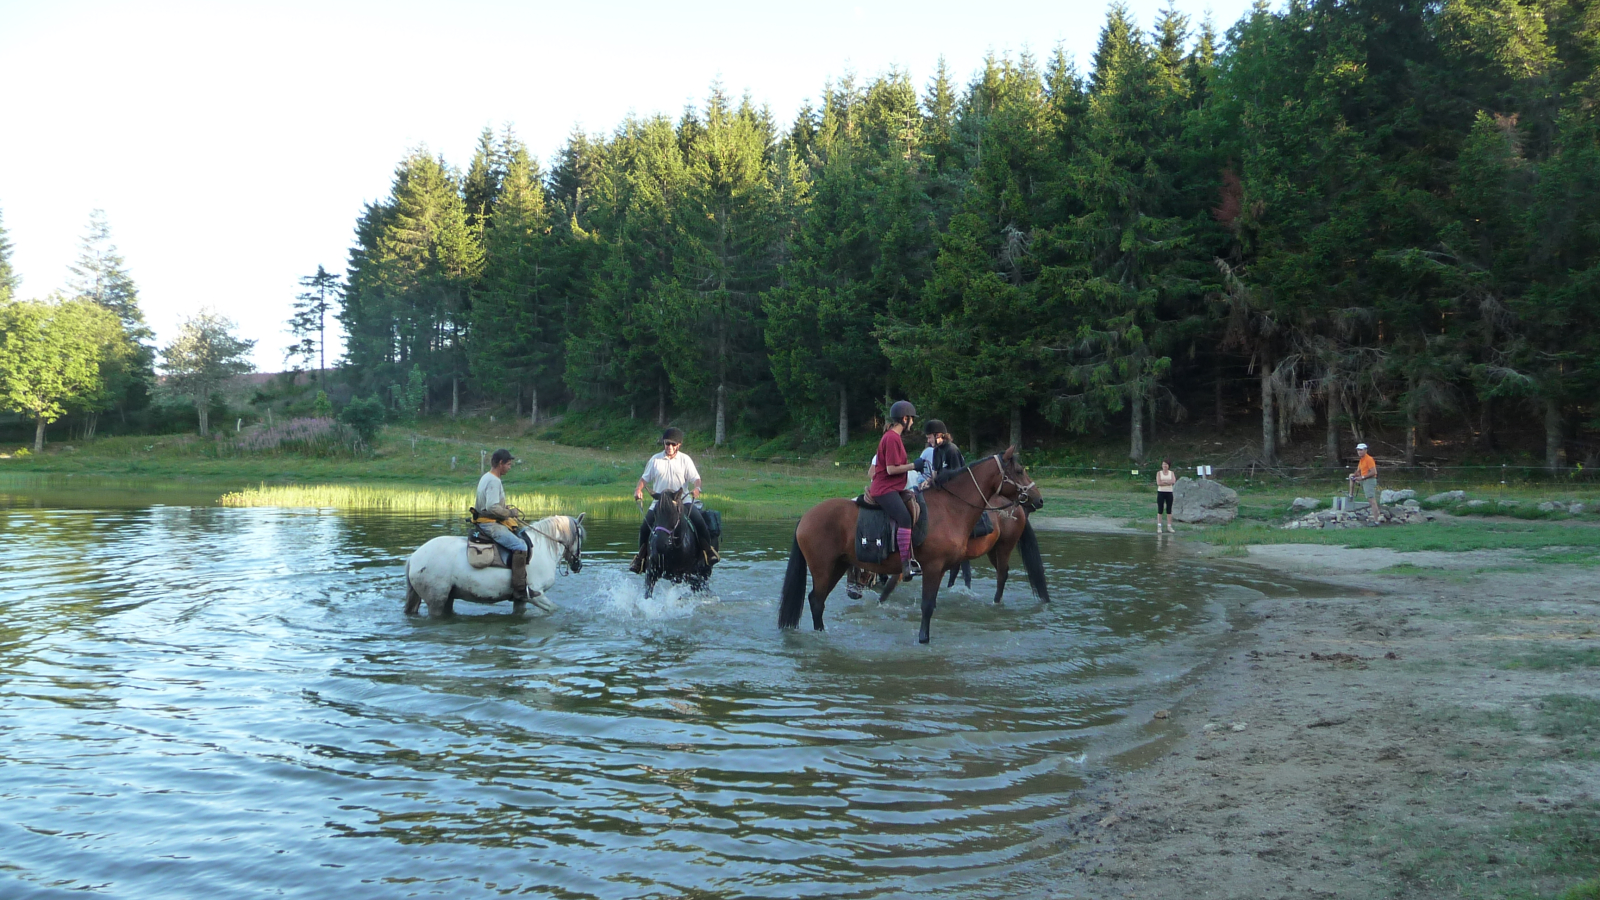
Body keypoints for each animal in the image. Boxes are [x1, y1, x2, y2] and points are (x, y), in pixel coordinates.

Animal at [406, 515, 588, 611]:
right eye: (580, 536)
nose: (577, 565)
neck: (542, 547)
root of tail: (414, 558)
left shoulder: (520, 599)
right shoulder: (537, 595)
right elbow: (554, 609)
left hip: (447, 598)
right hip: (436, 600)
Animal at [780, 445, 1043, 640]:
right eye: (1020, 470)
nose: (1038, 499)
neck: (950, 506)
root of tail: (806, 517)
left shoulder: (931, 567)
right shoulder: (932, 567)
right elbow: (926, 605)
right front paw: (923, 639)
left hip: (836, 566)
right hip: (824, 568)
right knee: (816, 601)